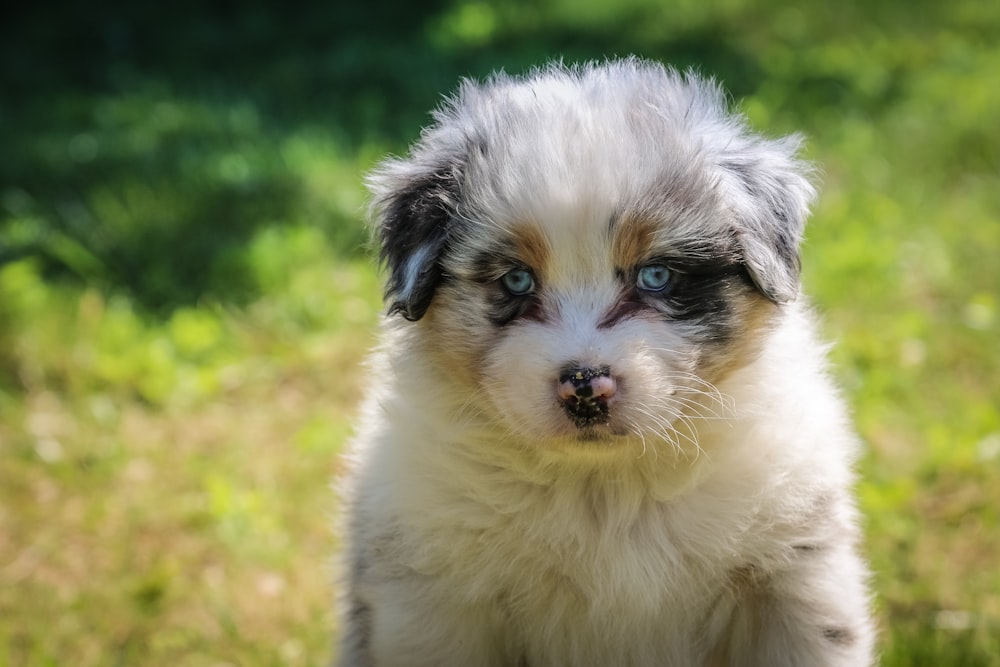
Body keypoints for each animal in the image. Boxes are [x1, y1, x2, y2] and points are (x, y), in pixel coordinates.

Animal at [340, 58, 872, 667]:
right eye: (516, 280)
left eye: (657, 275)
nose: (585, 388)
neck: (606, 488)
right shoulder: (436, 595)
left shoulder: (789, 574)